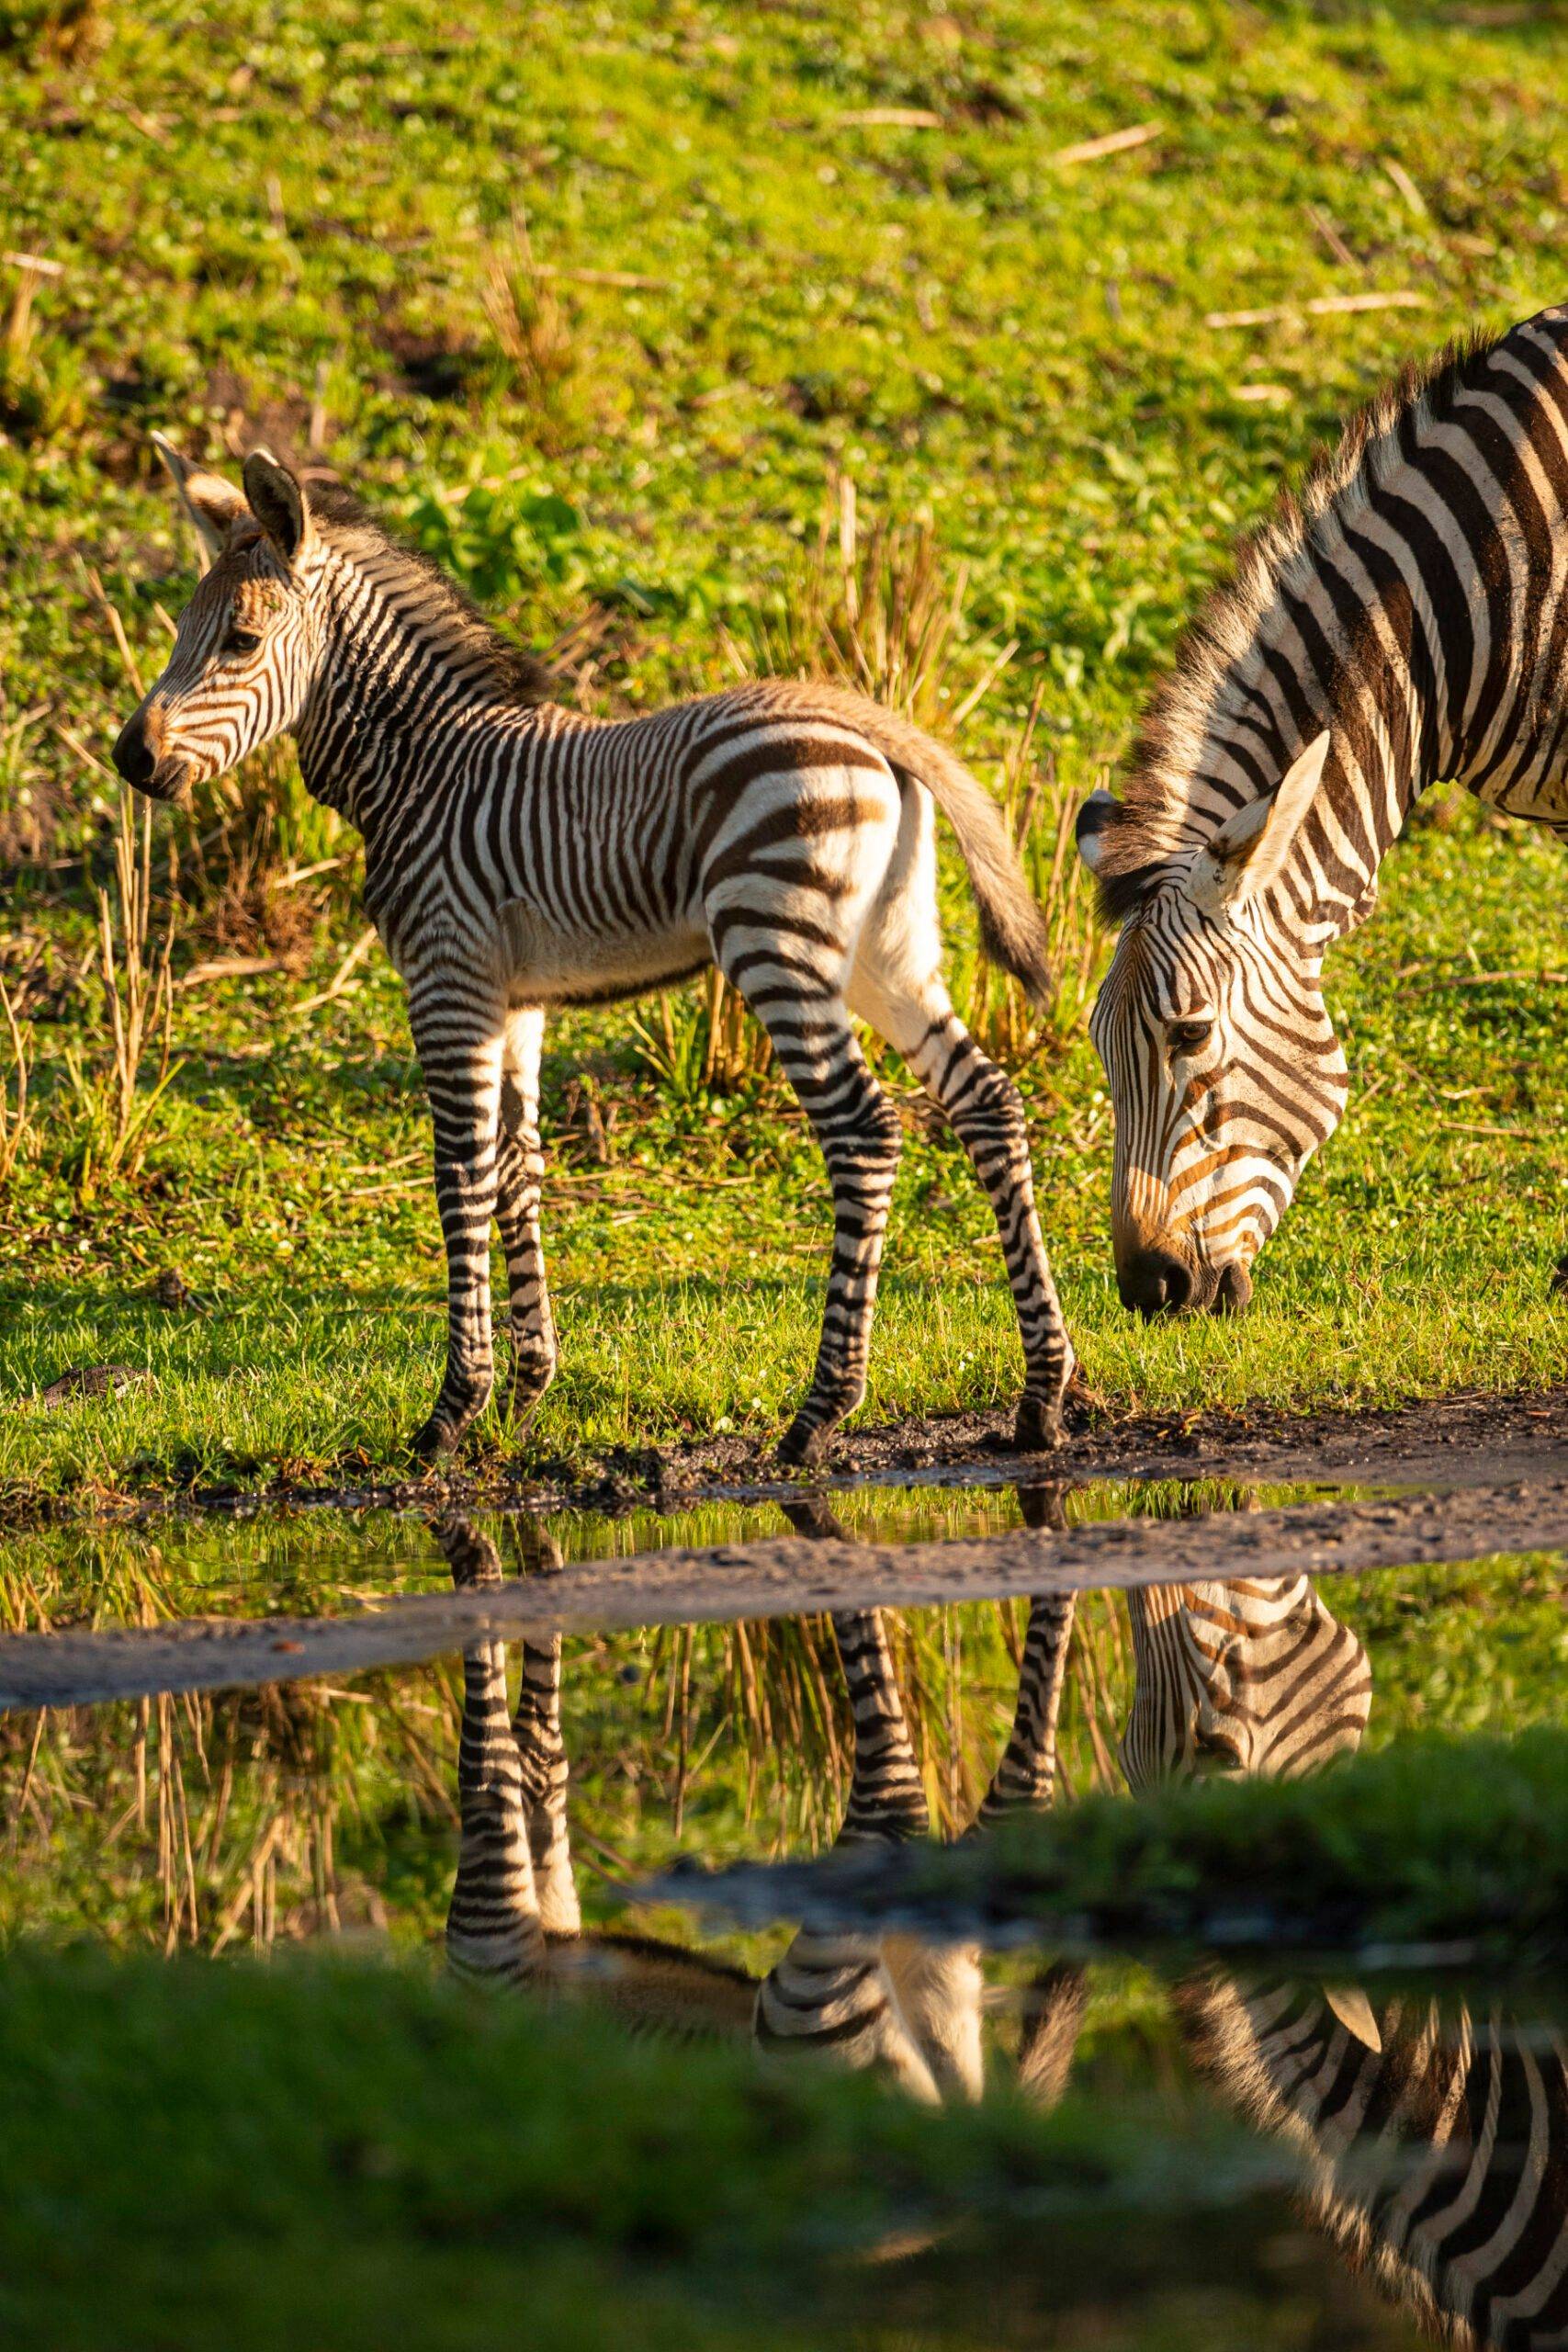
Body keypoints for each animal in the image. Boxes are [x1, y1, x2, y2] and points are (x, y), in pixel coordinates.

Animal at [112, 440, 1074, 1465]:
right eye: (183, 633)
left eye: (240, 643)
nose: (130, 759)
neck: (421, 770)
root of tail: (869, 726)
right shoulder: (514, 999)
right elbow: (516, 1168)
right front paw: (526, 1393)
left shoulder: (446, 978)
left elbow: (458, 1175)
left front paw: (452, 1409)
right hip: (885, 955)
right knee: (986, 1100)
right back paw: (1041, 1392)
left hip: (777, 944)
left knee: (865, 1130)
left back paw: (821, 1410)